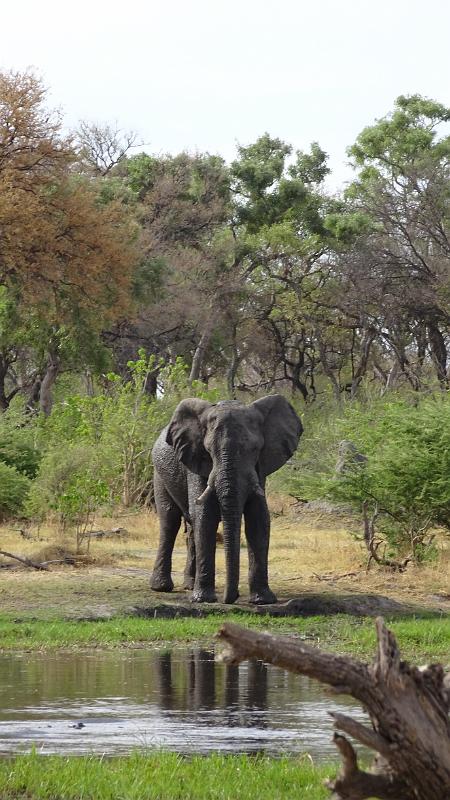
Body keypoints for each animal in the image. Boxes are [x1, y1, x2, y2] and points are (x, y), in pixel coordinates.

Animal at [150, 394, 302, 608]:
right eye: (208, 450)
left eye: (255, 449)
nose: (233, 597)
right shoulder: (195, 459)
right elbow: (204, 515)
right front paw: (203, 600)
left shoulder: (259, 468)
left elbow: (259, 518)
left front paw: (263, 601)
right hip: (159, 472)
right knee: (169, 521)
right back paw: (162, 587)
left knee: (190, 528)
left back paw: (189, 585)